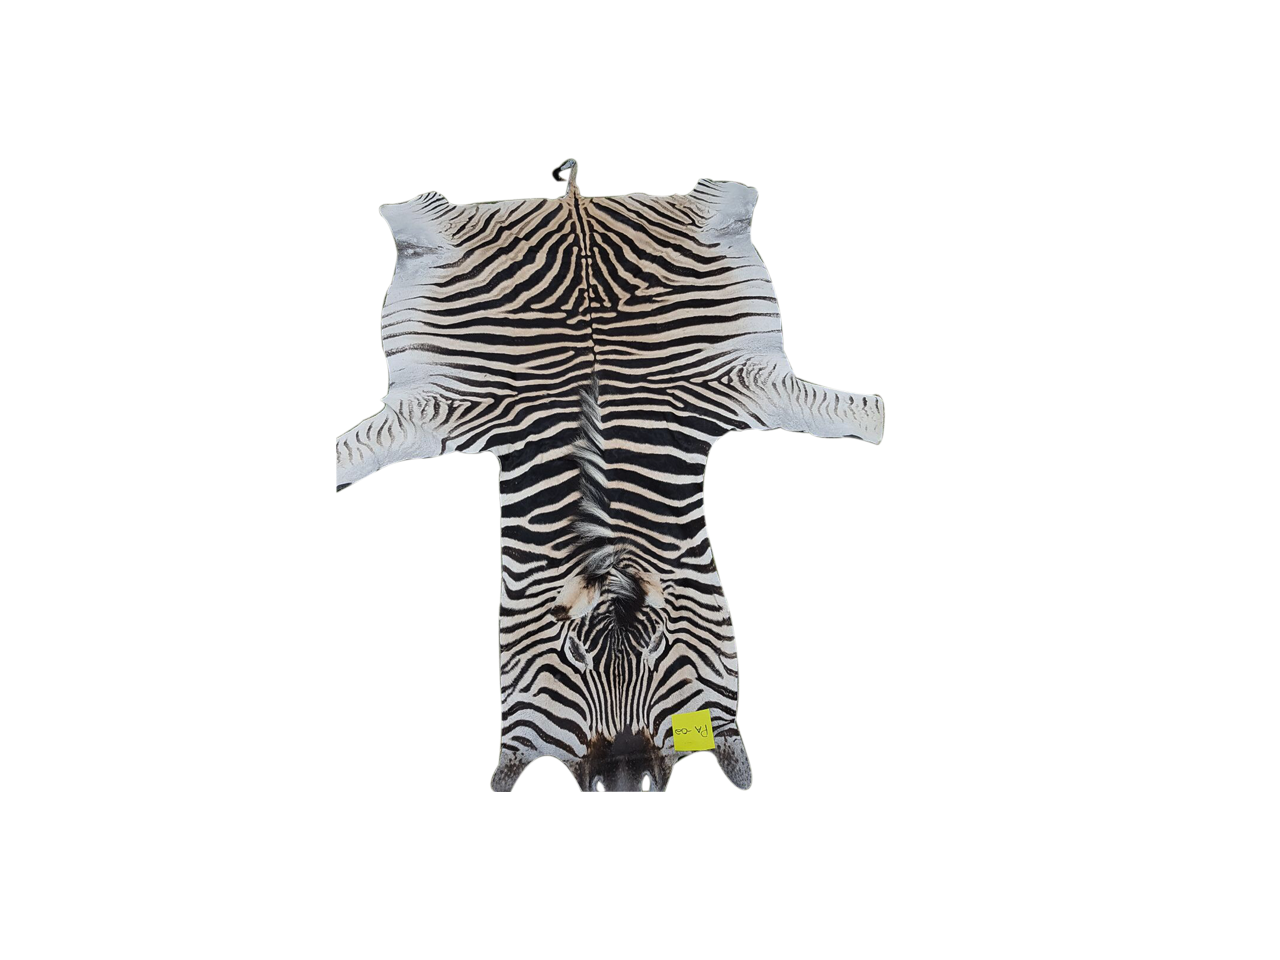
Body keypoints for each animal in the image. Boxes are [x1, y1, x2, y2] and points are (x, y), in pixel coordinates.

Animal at [334, 159, 884, 791]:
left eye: (659, 647)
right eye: (571, 656)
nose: (625, 782)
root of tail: (577, 201)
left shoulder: (746, 386)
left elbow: (862, 412)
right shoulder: (437, 411)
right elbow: (354, 450)